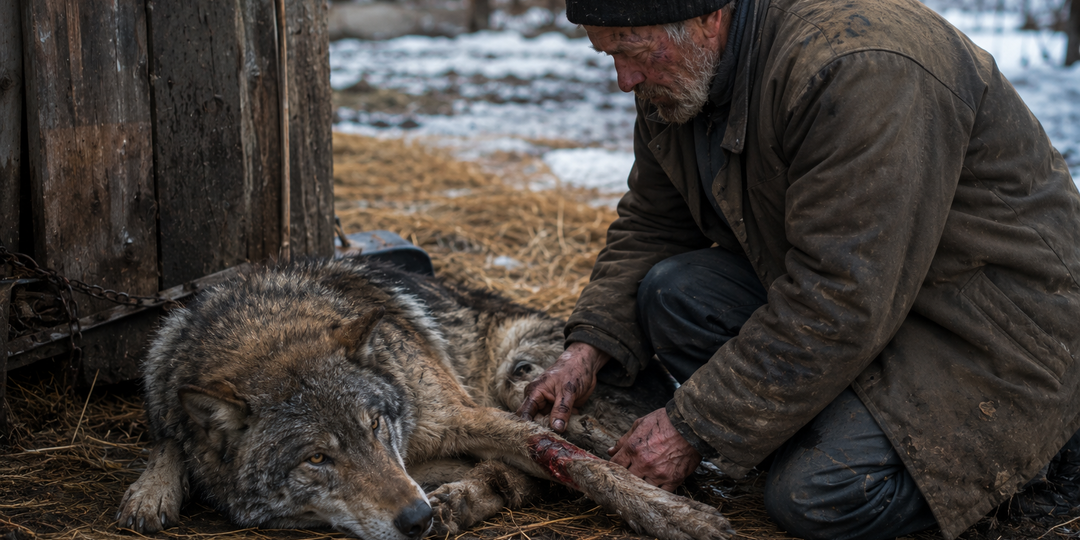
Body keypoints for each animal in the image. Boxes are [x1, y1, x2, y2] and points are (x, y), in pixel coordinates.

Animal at [116, 256, 733, 540]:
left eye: (374, 426)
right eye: (317, 458)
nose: (414, 517)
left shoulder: (466, 415)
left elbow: (581, 466)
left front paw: (679, 518)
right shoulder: (167, 383)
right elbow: (169, 439)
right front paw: (150, 492)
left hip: (521, 376)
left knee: (579, 445)